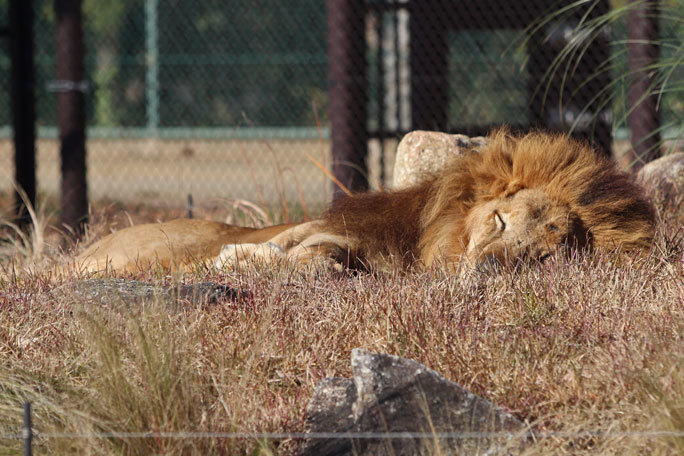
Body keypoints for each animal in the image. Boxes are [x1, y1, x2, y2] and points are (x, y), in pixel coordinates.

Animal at [72, 130, 656, 276]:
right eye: (497, 219)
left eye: (540, 257)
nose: (489, 268)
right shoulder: (319, 229)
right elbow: (309, 252)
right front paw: (245, 259)